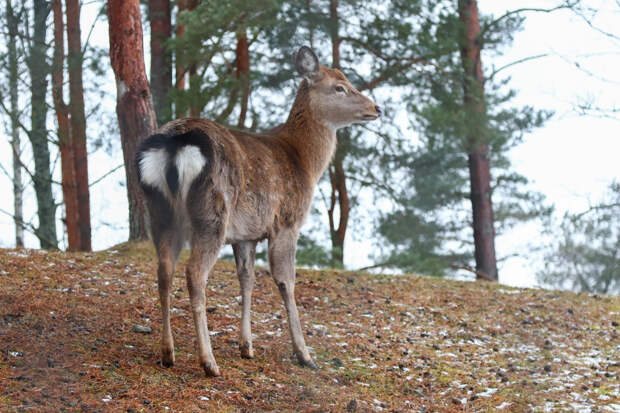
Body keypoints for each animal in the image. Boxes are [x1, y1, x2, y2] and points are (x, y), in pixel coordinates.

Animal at [134, 45, 380, 376]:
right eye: (340, 87)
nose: (377, 108)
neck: (304, 162)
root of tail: (176, 143)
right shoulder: (287, 222)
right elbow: (286, 282)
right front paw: (304, 354)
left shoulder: (246, 234)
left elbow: (247, 279)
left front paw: (246, 346)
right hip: (211, 212)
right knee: (194, 272)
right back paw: (209, 362)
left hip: (159, 209)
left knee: (164, 269)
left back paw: (167, 353)